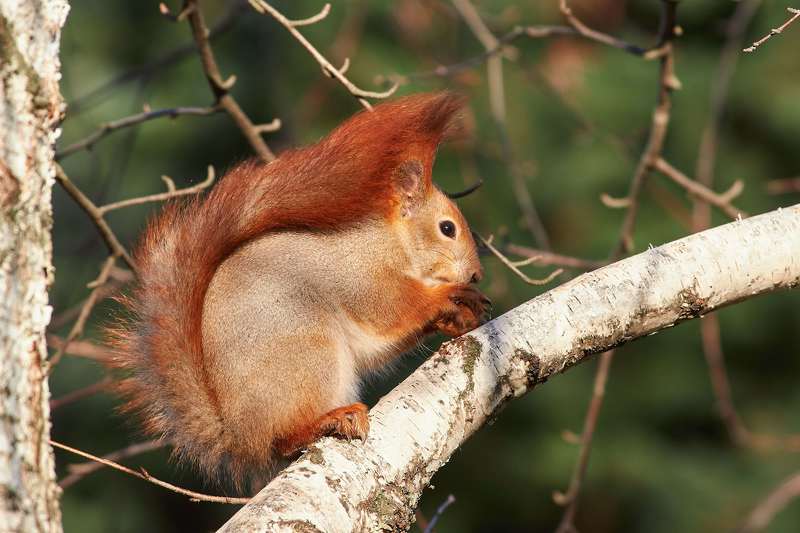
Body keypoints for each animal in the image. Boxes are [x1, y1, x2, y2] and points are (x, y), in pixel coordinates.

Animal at [106, 92, 489, 490]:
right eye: (447, 228)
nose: (476, 274)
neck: (393, 243)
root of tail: (240, 435)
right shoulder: (361, 276)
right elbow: (391, 307)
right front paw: (453, 296)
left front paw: (458, 318)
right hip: (308, 354)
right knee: (284, 437)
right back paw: (327, 421)